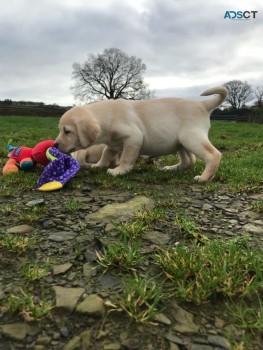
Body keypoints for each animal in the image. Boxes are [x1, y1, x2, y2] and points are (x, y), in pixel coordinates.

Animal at [56, 86, 229, 182]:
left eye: (67, 131)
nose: (55, 145)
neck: (107, 115)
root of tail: (202, 104)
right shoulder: (114, 143)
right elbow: (106, 153)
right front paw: (98, 165)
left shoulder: (133, 139)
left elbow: (126, 158)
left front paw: (119, 171)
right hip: (180, 142)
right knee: (189, 161)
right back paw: (171, 168)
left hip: (191, 138)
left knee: (213, 155)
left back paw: (204, 178)